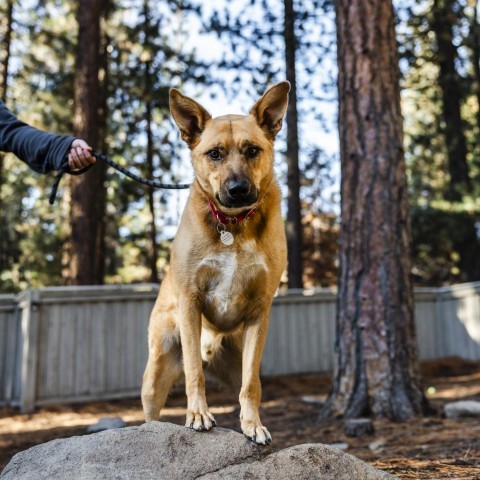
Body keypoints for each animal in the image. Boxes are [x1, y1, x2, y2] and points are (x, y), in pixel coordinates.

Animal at [140, 80, 288, 444]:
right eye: (215, 154)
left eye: (252, 150)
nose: (237, 189)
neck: (233, 224)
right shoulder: (191, 301)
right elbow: (195, 373)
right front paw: (197, 415)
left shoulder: (259, 310)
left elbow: (251, 385)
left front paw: (253, 426)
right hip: (155, 373)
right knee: (152, 412)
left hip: (236, 360)